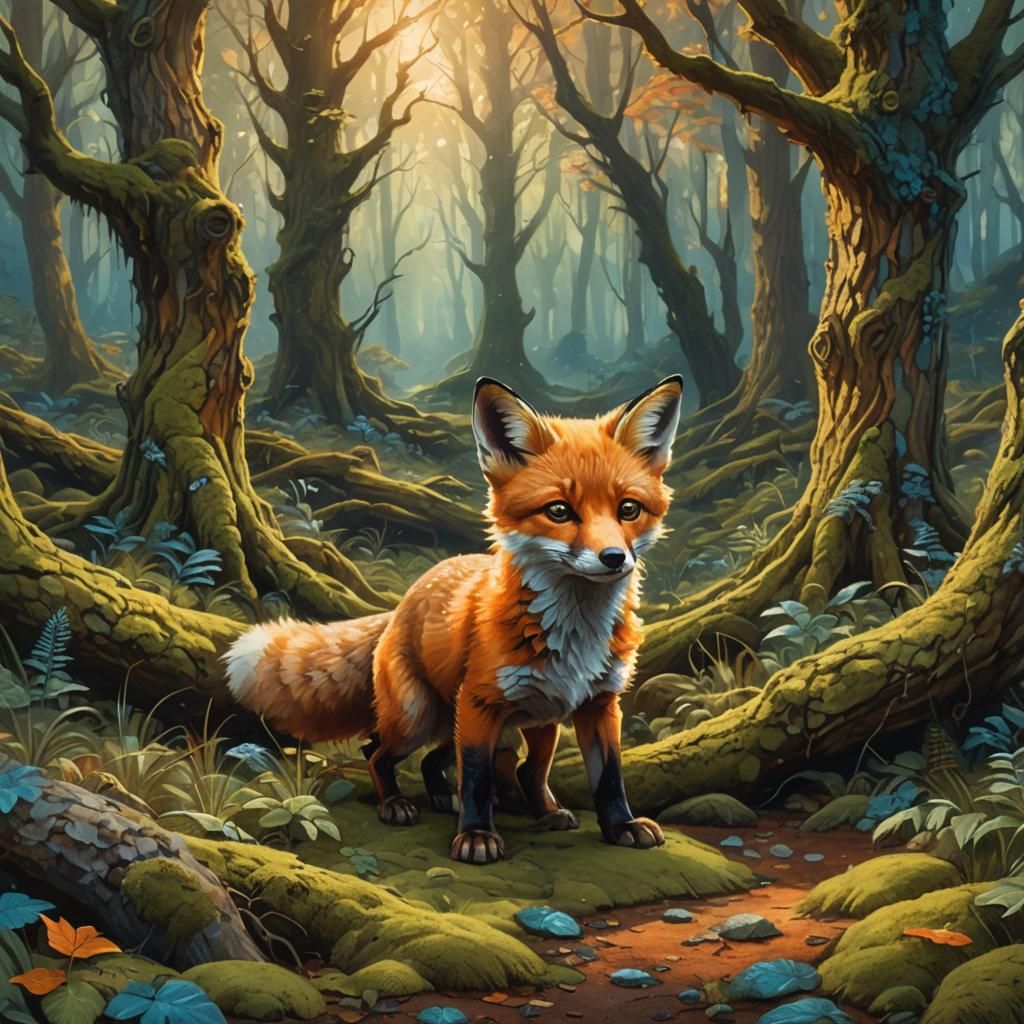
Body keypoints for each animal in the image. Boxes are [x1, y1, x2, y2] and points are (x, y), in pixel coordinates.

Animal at [224, 375, 683, 864]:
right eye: (559, 510)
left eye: (628, 509)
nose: (614, 558)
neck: (576, 629)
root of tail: (406, 599)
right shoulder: (479, 704)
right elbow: (477, 778)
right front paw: (477, 835)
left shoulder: (600, 704)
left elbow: (609, 776)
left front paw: (622, 826)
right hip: (420, 717)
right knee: (376, 750)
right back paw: (397, 803)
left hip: (528, 719)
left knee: (512, 769)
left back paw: (525, 809)